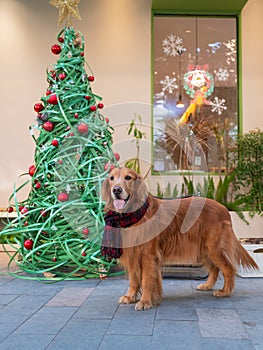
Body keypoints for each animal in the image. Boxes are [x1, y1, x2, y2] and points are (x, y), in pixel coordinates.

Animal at [101, 168, 260, 310]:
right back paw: (207, 285)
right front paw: (130, 297)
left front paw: (145, 301)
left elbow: (146, 280)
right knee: (215, 268)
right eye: (112, 178)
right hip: (204, 250)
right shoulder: (132, 253)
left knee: (228, 269)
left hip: (214, 248)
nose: (116, 190)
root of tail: (223, 208)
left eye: (128, 177)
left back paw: (225, 291)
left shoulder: (148, 255)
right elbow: (134, 279)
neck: (133, 215)